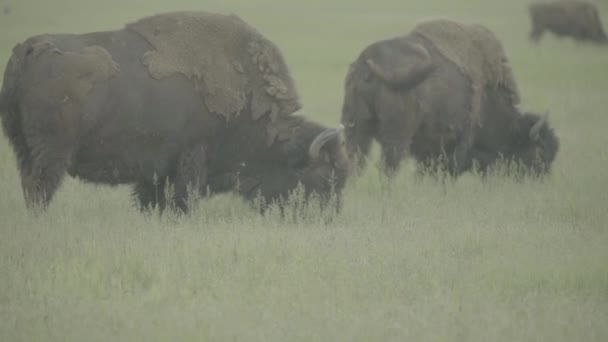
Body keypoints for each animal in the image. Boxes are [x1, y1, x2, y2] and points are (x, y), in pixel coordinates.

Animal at [0, 12, 350, 215]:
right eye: (322, 176)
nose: (325, 217)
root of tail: (29, 49)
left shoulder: (157, 171)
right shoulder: (192, 157)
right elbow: (183, 195)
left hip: (22, 147)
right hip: (50, 154)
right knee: (40, 187)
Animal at [340, 18, 560, 179]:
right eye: (540, 153)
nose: (541, 180)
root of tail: (368, 57)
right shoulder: (462, 140)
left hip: (356, 128)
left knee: (356, 160)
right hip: (396, 137)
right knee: (388, 166)